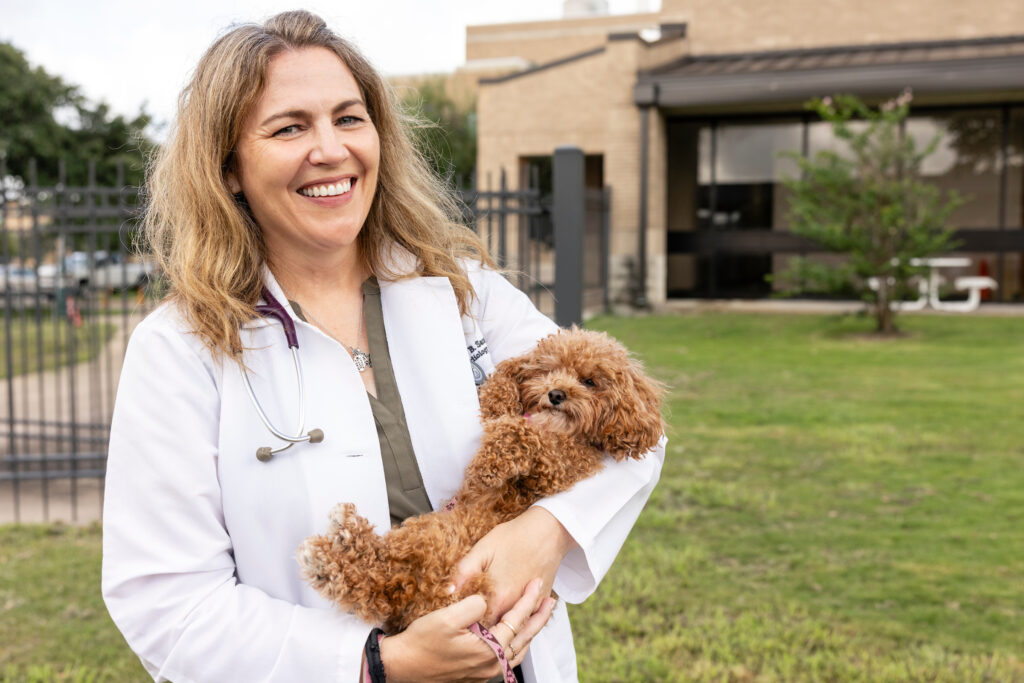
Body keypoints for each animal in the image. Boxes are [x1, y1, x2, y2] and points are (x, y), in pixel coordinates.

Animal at [296, 327, 663, 634]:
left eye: (589, 381)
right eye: (547, 370)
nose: (556, 394)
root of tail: (418, 601)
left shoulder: (559, 468)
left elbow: (526, 436)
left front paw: (491, 462)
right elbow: (501, 398)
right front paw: (502, 387)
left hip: (435, 540)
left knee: (378, 582)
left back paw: (337, 546)